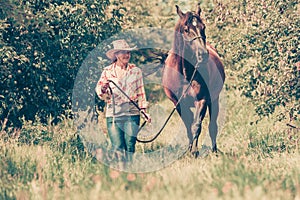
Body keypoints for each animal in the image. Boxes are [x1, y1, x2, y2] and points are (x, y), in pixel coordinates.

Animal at [162, 5, 225, 155]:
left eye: (204, 27)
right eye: (186, 29)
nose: (203, 55)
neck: (185, 74)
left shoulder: (201, 100)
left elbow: (196, 126)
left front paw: (194, 152)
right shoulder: (178, 104)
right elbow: (188, 126)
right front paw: (189, 150)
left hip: (214, 100)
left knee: (212, 126)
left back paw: (214, 151)